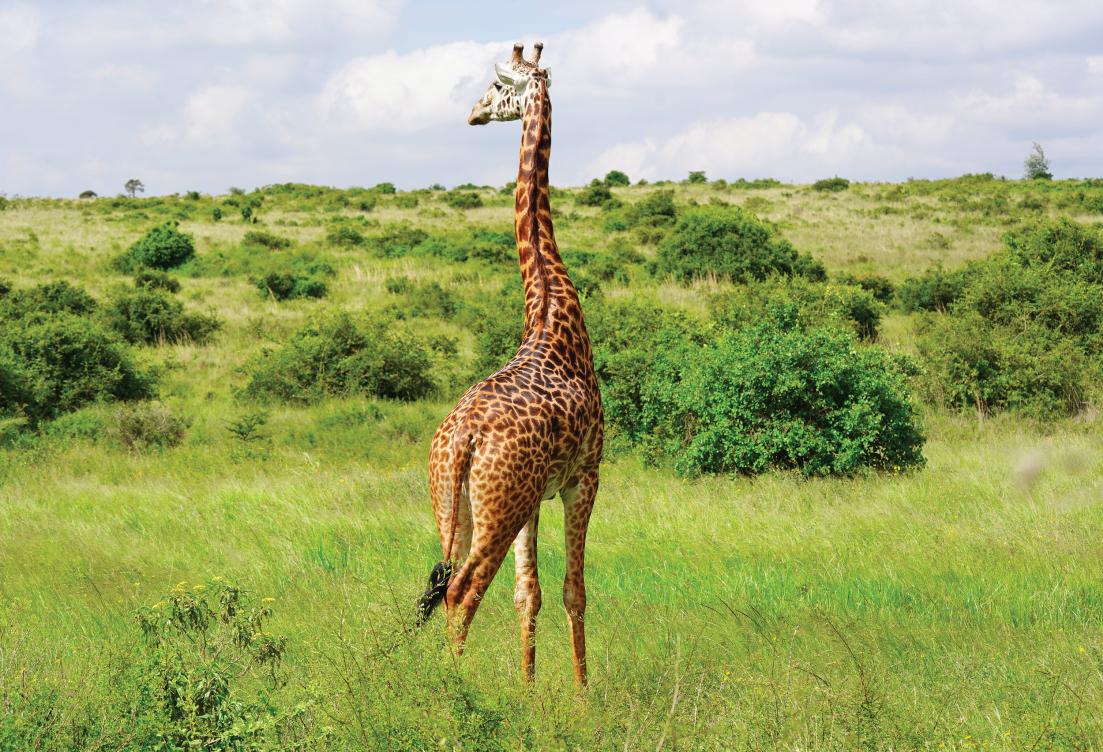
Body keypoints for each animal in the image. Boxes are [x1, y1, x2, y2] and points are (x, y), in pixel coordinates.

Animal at [414, 41, 604, 683]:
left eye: (498, 87)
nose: (473, 112)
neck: (549, 305)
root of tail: (462, 439)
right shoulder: (585, 476)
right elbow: (573, 591)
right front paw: (582, 692)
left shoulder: (535, 498)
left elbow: (531, 593)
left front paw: (528, 688)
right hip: (497, 509)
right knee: (462, 591)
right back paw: (455, 691)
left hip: (457, 505)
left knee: (443, 585)